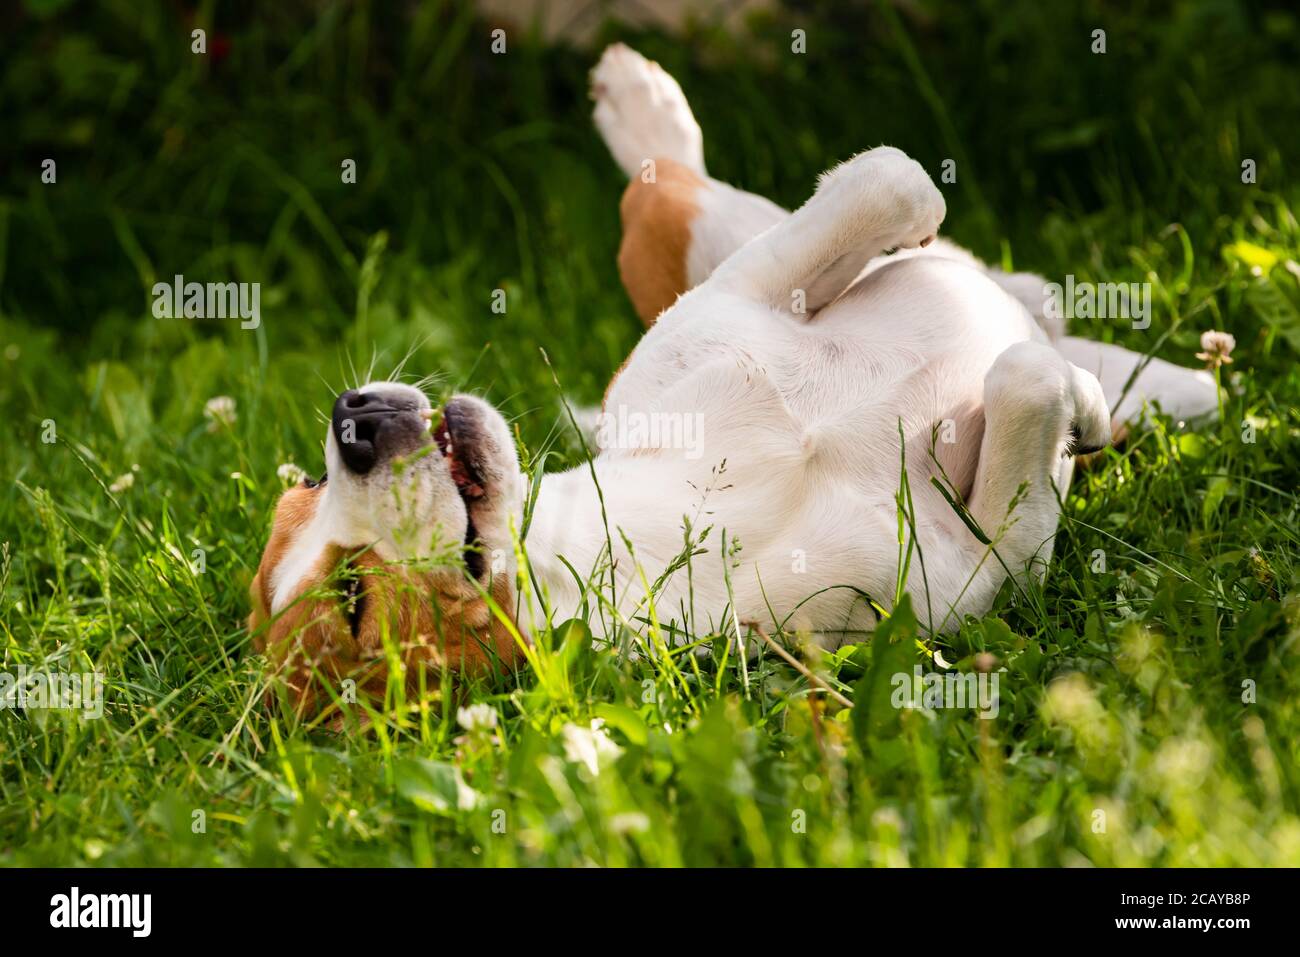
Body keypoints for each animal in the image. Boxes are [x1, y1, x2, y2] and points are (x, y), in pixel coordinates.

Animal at [245, 46, 1216, 717]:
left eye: (306, 482)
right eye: (352, 597)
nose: (353, 418)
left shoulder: (737, 297)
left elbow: (891, 181)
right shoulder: (984, 567)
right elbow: (1025, 382)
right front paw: (1074, 409)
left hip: (720, 245)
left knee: (692, 198)